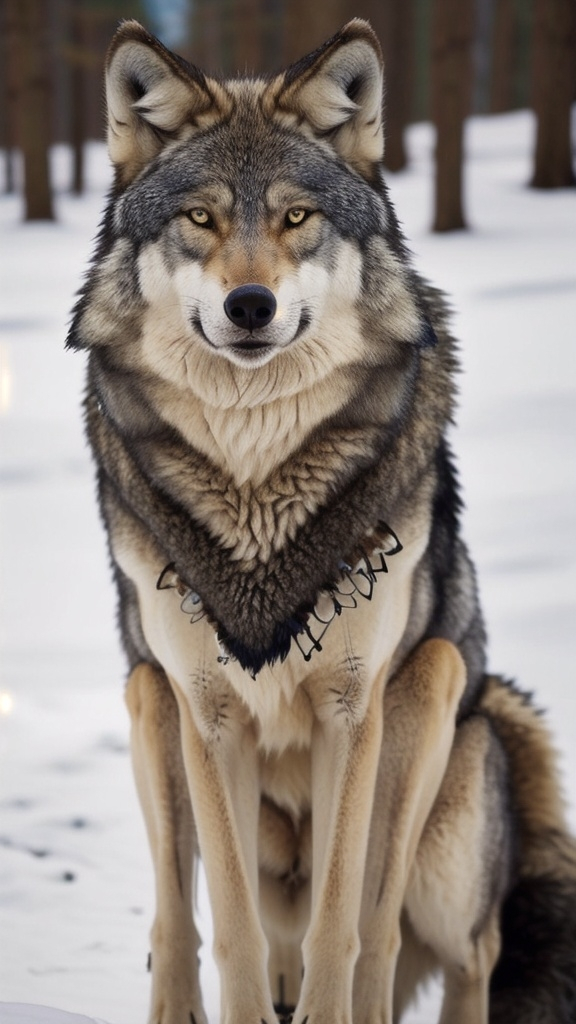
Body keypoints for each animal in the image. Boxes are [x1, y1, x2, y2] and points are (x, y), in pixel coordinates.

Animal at [67, 19, 573, 1024]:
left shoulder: (354, 710)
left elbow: (347, 922)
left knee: (455, 946)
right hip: (148, 701)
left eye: (297, 218)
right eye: (202, 220)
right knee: (184, 926)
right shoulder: (206, 713)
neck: (259, 483)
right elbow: (231, 930)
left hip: (440, 706)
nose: (250, 305)